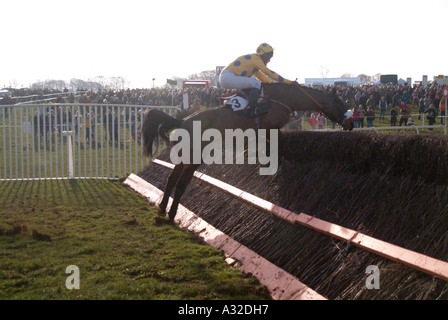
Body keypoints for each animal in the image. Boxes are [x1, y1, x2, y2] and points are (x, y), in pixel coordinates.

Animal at [143, 82, 354, 221]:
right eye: (340, 103)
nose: (350, 124)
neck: (283, 98)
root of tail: (182, 121)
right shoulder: (269, 128)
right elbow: (274, 145)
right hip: (194, 157)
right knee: (181, 183)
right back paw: (171, 214)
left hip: (183, 156)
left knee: (172, 179)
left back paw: (163, 208)